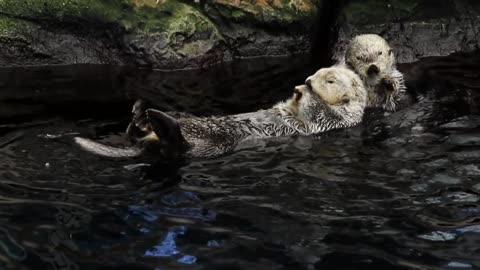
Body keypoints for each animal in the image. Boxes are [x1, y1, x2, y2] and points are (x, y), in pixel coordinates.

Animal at [75, 66, 368, 159]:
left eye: (330, 80)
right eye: (319, 72)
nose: (307, 79)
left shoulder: (334, 122)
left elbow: (317, 112)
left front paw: (305, 92)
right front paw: (297, 90)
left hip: (213, 145)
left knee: (178, 148)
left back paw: (156, 120)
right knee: (137, 133)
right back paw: (140, 113)